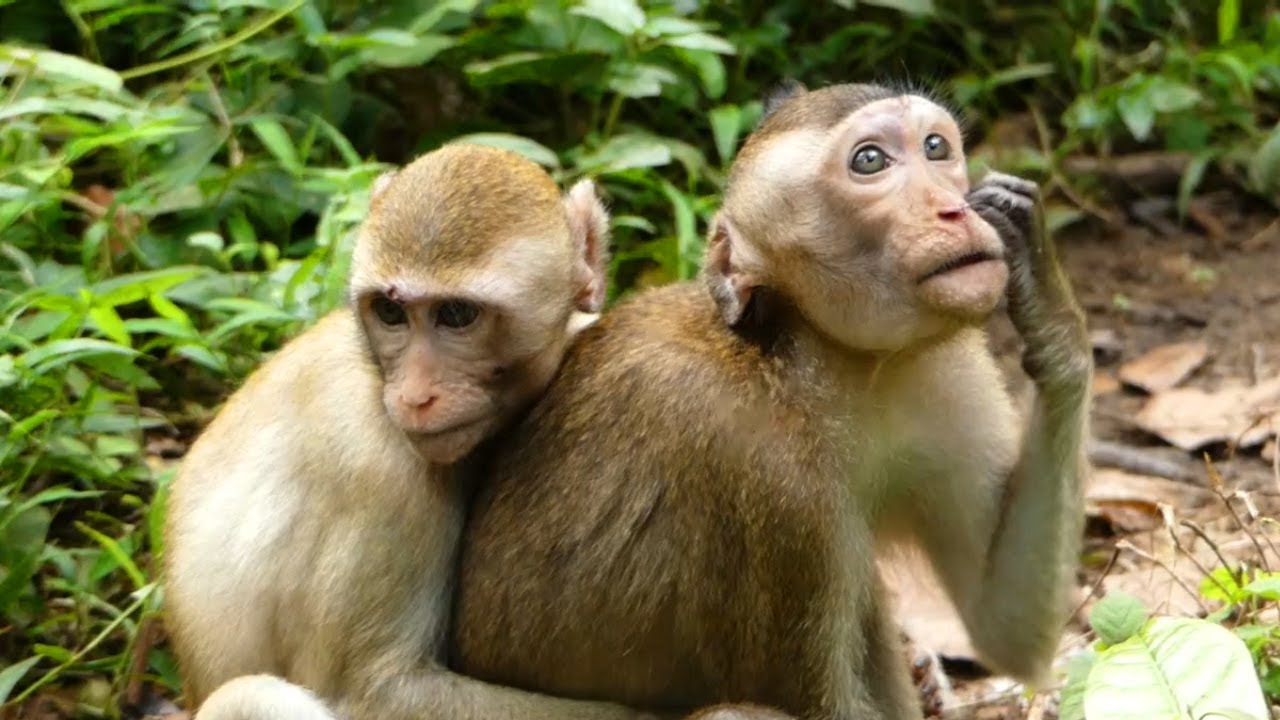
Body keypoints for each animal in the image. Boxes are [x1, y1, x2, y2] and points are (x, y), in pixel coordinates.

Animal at [163, 143, 664, 720]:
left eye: (457, 314)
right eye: (390, 311)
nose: (413, 396)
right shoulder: (375, 466)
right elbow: (374, 690)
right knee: (251, 695)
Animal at [450, 83, 1092, 720]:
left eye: (936, 147)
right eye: (870, 161)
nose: (954, 209)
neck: (814, 368)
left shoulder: (946, 371)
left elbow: (1002, 625)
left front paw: (1041, 282)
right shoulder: (769, 481)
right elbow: (821, 706)